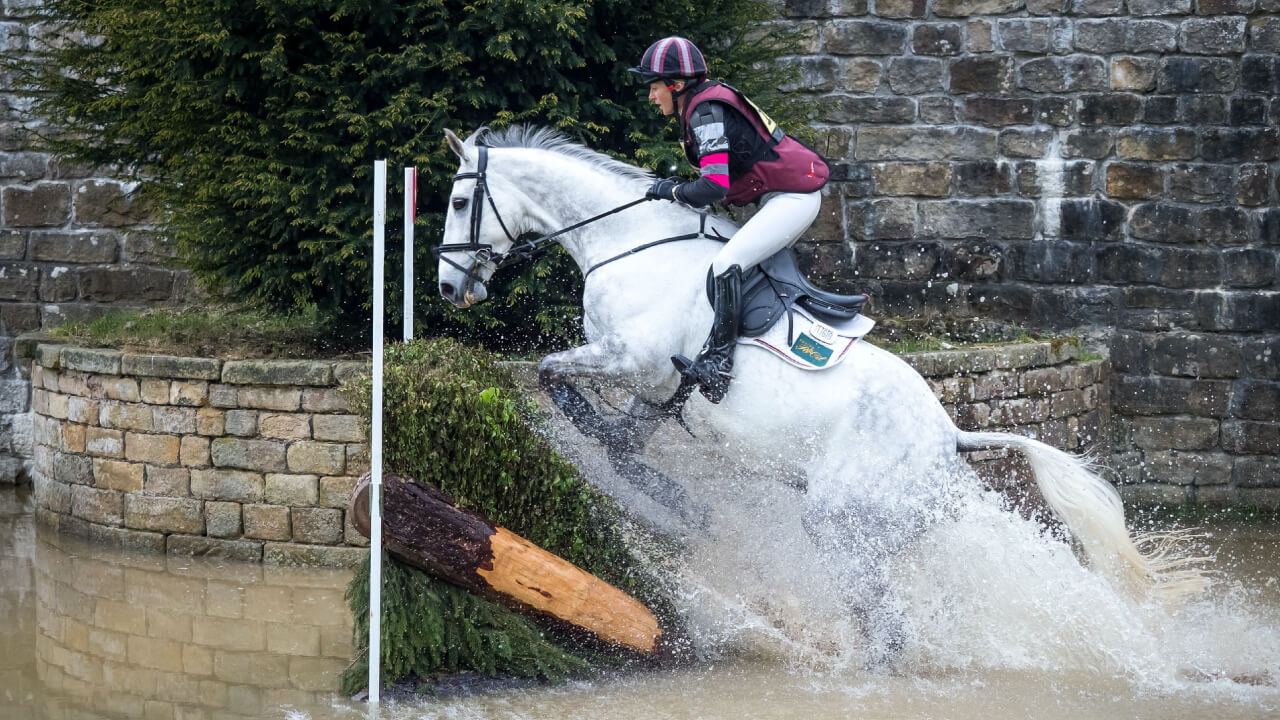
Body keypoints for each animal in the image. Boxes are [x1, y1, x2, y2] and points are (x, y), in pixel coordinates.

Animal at [435, 122, 1203, 661]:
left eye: (461, 199)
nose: (446, 288)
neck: (627, 242)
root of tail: (949, 434)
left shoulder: (630, 359)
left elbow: (552, 374)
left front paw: (614, 454)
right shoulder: (656, 390)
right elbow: (622, 447)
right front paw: (674, 504)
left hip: (840, 523)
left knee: (887, 626)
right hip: (897, 530)